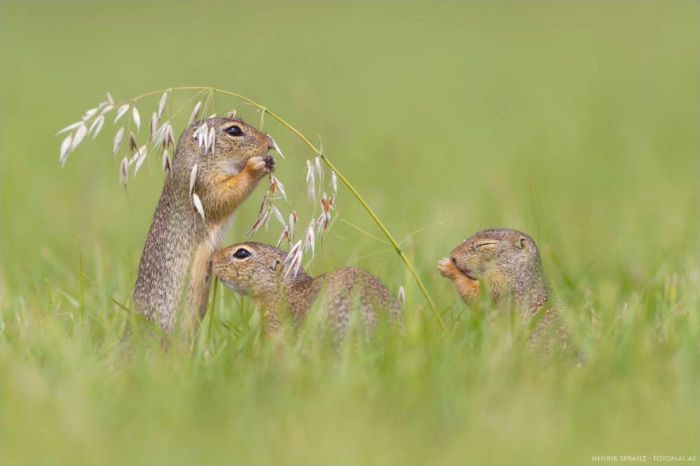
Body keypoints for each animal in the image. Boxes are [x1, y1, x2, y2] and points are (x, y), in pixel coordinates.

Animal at [133, 118, 274, 334]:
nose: (269, 144)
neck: (198, 160)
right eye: (234, 130)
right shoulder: (203, 185)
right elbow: (226, 193)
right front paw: (255, 166)